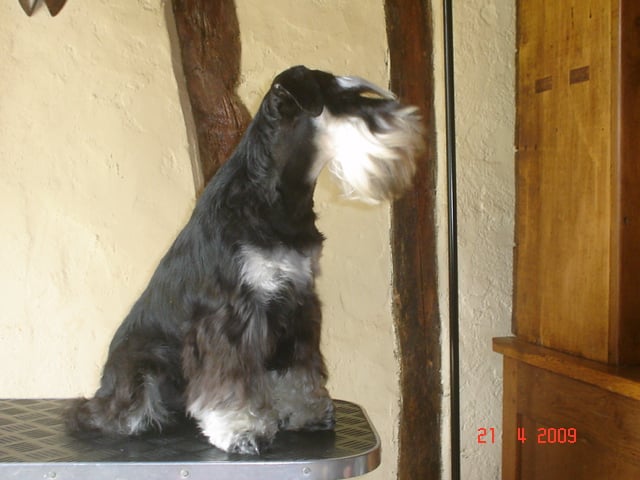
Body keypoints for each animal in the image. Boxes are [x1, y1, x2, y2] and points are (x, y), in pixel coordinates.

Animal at [65, 65, 424, 454]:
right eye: (350, 99)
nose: (413, 123)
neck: (277, 199)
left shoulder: (299, 303)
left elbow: (300, 369)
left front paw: (307, 412)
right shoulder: (231, 313)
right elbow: (231, 381)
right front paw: (241, 430)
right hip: (143, 363)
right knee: (109, 411)